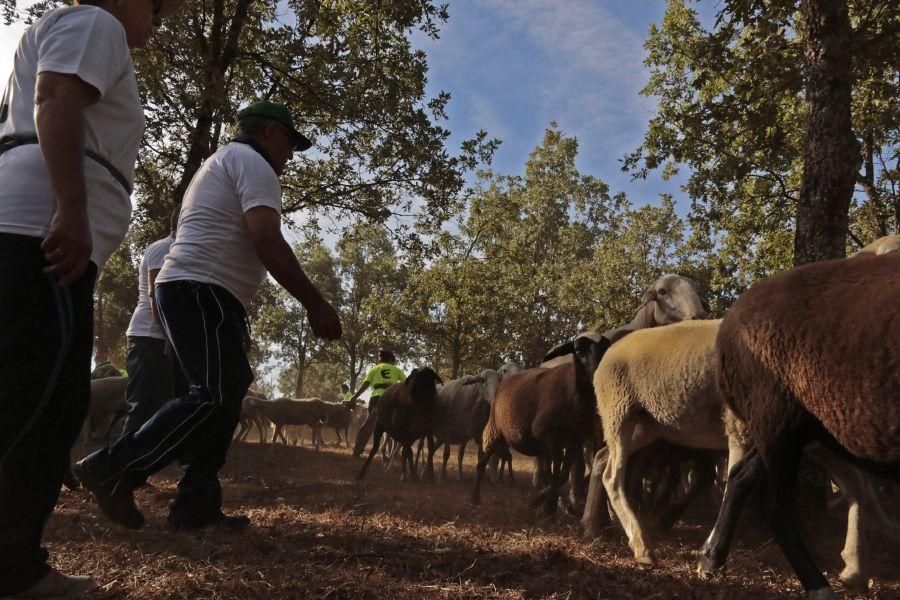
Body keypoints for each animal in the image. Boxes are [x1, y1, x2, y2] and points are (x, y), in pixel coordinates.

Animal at [704, 251, 900, 596]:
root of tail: (729, 322)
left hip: (791, 427)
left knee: (741, 475)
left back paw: (712, 560)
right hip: (777, 418)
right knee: (775, 503)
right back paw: (820, 587)